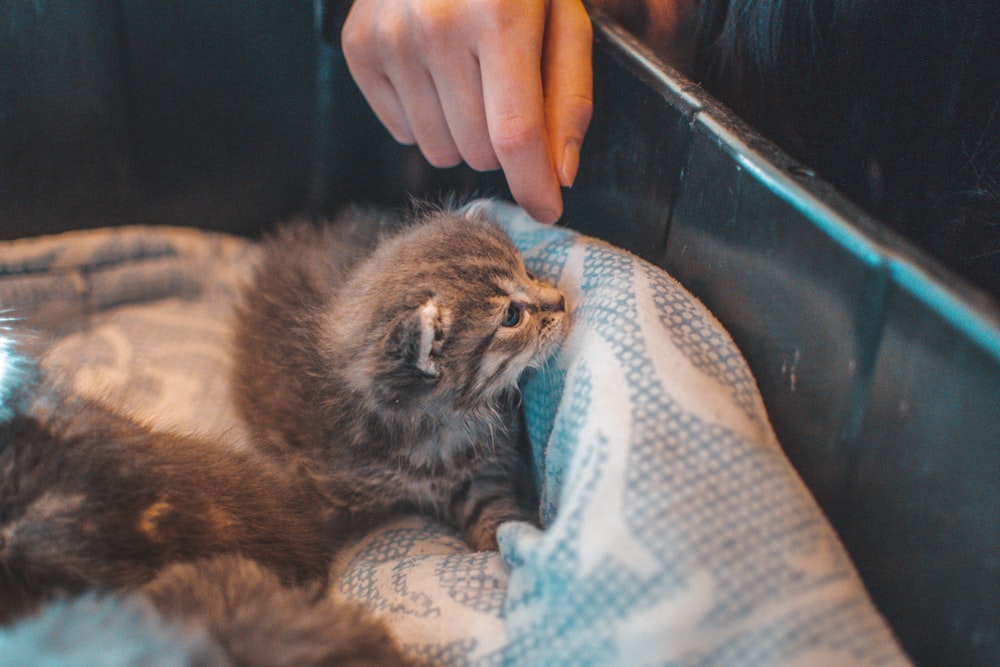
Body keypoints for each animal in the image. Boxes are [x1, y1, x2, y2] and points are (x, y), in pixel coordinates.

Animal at [229, 206, 568, 552]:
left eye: (528, 273)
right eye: (512, 316)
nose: (562, 300)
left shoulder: (483, 471)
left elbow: (496, 516)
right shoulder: (325, 487)